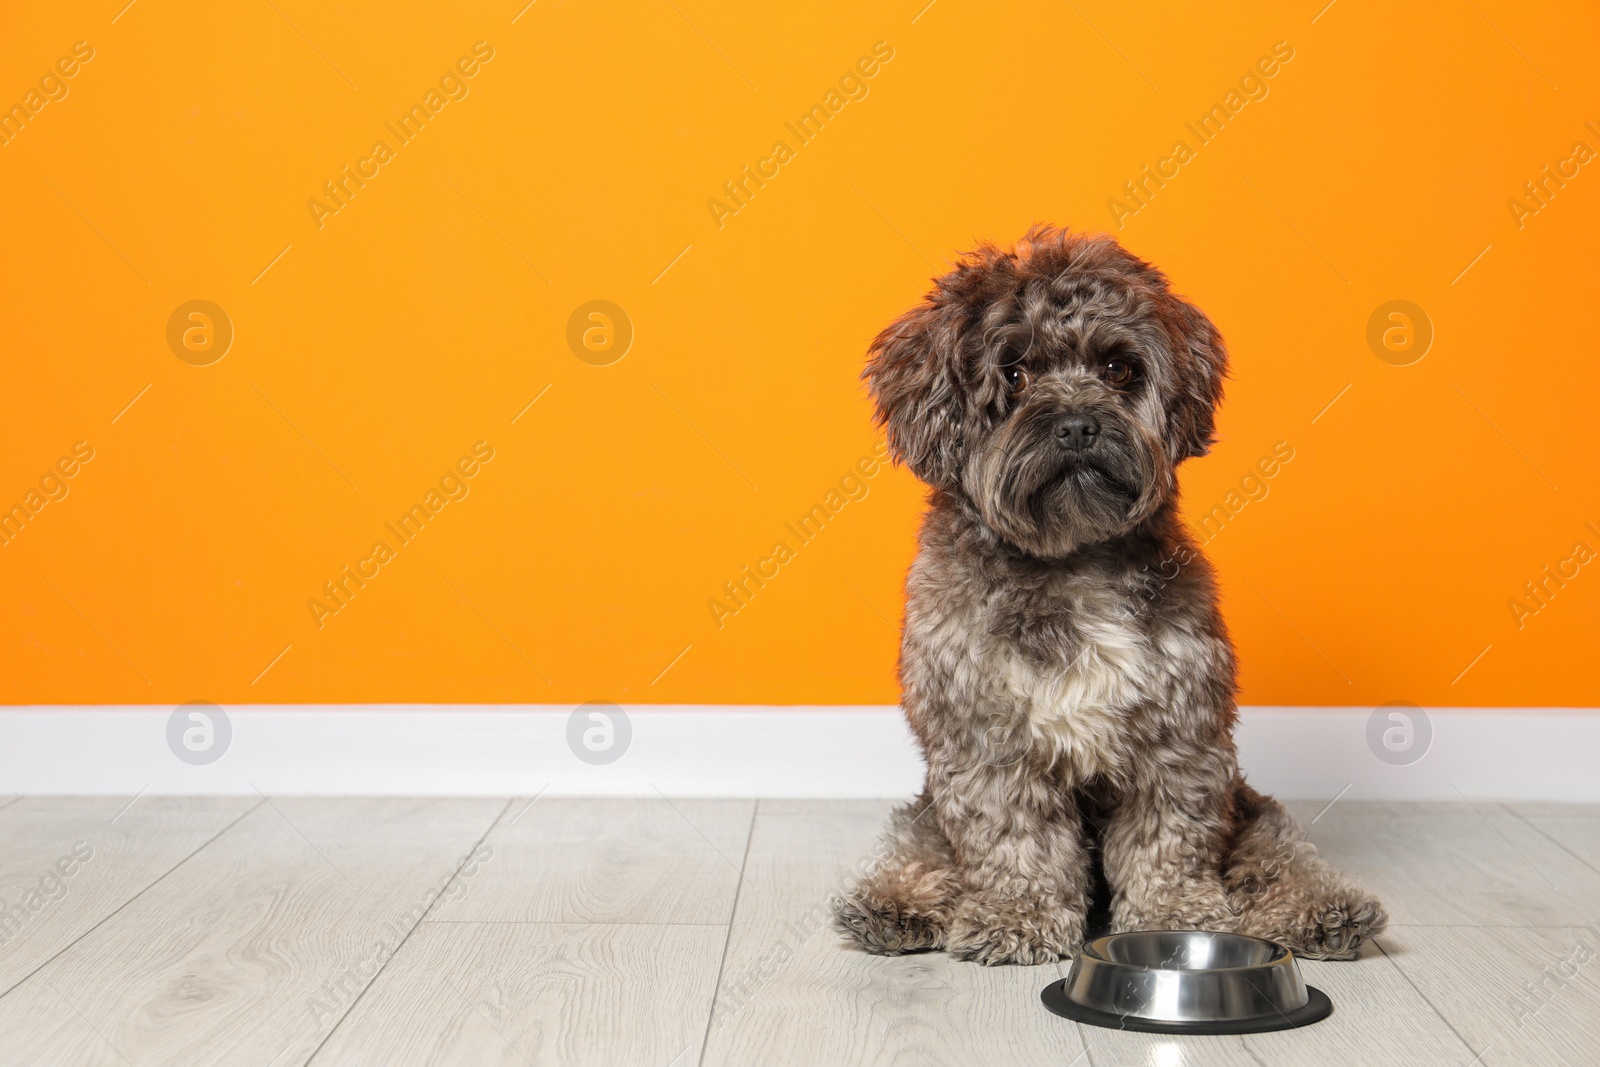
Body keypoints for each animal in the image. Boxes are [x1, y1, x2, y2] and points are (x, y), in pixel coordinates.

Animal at [832, 225, 1382, 966]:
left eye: (1120, 369)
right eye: (1014, 373)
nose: (1076, 424)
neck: (1073, 559)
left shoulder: (1178, 734)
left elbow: (1167, 838)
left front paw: (1175, 916)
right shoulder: (985, 738)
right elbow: (1014, 837)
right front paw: (1019, 915)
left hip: (1248, 805)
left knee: (1276, 850)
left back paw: (1324, 908)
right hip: (930, 808)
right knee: (921, 841)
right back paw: (895, 903)